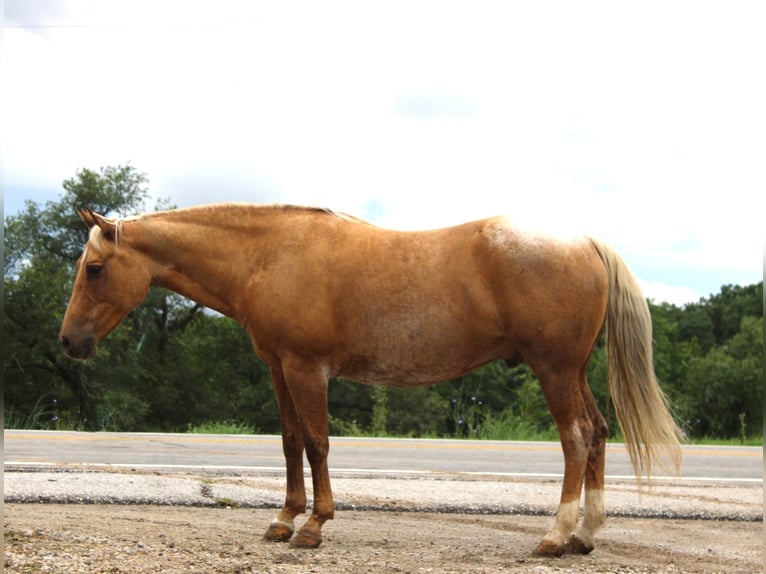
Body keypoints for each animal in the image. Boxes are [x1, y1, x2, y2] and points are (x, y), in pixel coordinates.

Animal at [59, 203, 682, 556]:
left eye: (95, 269)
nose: (69, 343)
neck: (270, 255)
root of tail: (584, 241)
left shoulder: (307, 368)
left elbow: (316, 443)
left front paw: (314, 525)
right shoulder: (279, 367)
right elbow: (289, 443)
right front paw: (283, 520)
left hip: (553, 369)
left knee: (575, 438)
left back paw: (556, 535)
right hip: (572, 372)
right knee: (597, 434)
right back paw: (585, 536)